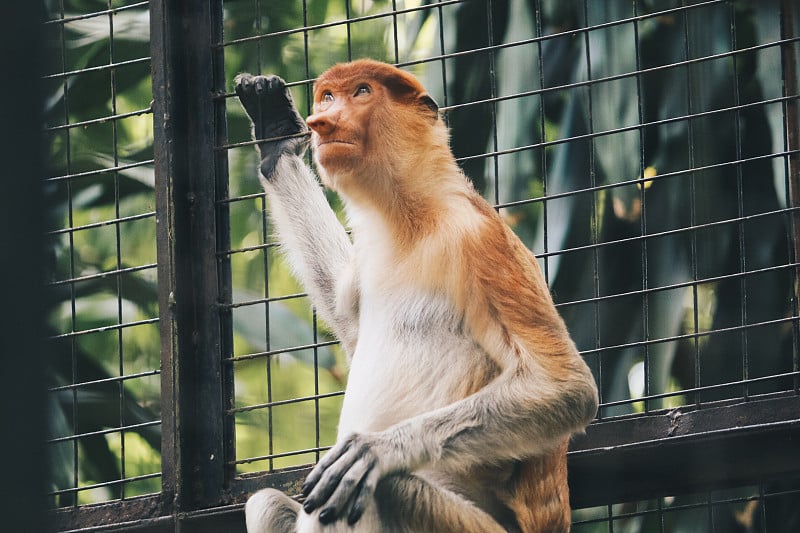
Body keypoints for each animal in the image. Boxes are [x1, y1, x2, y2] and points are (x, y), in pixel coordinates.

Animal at [234, 59, 596, 532]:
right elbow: (350, 324)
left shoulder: (478, 240)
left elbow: (567, 386)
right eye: (327, 98)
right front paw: (276, 135)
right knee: (266, 502)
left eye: (362, 92)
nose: (322, 123)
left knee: (384, 490)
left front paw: (379, 449)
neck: (411, 217)